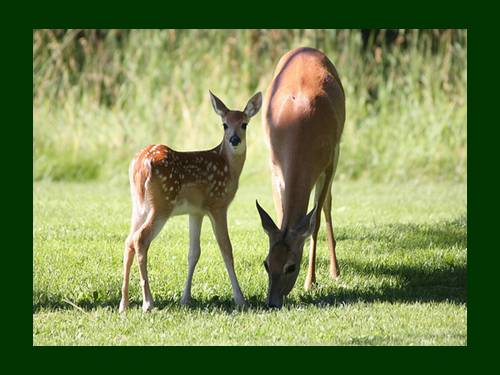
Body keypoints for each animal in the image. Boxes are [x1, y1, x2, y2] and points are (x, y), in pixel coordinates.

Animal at [119, 89, 264, 312]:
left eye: (244, 124)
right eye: (224, 124)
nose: (234, 139)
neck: (228, 167)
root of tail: (141, 164)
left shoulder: (195, 211)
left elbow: (193, 253)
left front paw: (185, 298)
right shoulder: (217, 204)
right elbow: (226, 249)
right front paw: (240, 299)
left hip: (139, 206)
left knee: (128, 241)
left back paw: (124, 304)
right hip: (162, 205)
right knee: (140, 239)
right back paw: (148, 302)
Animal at [258, 47, 344, 308]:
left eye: (291, 267)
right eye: (266, 263)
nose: (272, 302)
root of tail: (306, 47)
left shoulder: (328, 163)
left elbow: (314, 223)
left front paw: (310, 281)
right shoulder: (275, 165)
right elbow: (280, 215)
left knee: (327, 207)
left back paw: (335, 271)